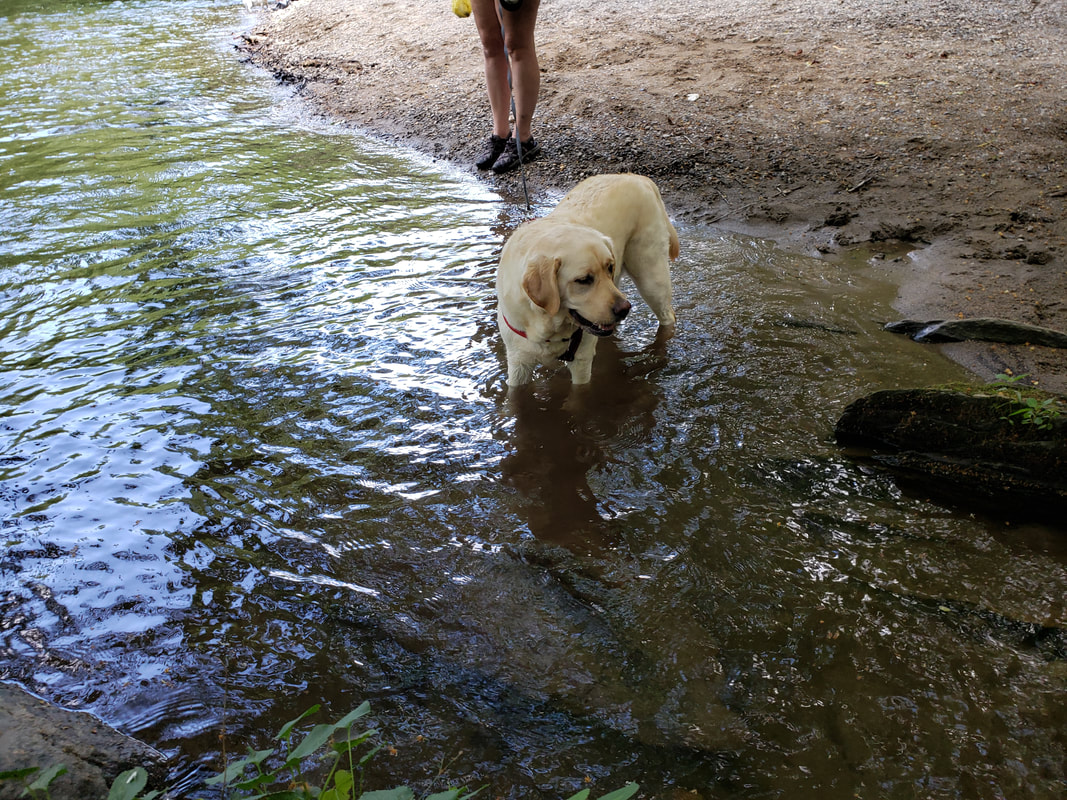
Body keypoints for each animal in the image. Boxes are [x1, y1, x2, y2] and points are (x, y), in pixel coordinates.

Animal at [497, 174, 678, 388]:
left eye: (609, 267)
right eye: (583, 280)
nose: (624, 309)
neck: (548, 325)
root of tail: (634, 176)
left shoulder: (581, 360)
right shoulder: (518, 361)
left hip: (651, 277)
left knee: (667, 315)